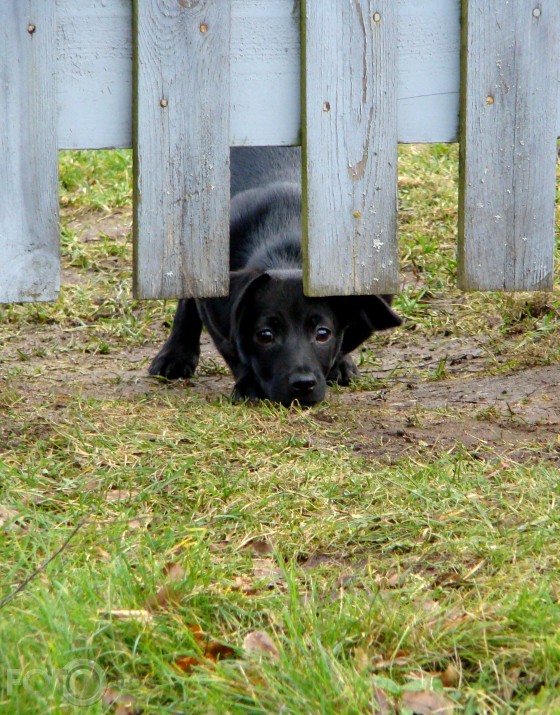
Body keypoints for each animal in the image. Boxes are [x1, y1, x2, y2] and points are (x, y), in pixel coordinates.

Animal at [149, 145, 402, 406]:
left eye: (323, 334)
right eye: (265, 335)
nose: (303, 385)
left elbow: (344, 341)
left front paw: (339, 363)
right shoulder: (216, 299)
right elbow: (232, 347)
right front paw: (248, 385)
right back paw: (175, 354)